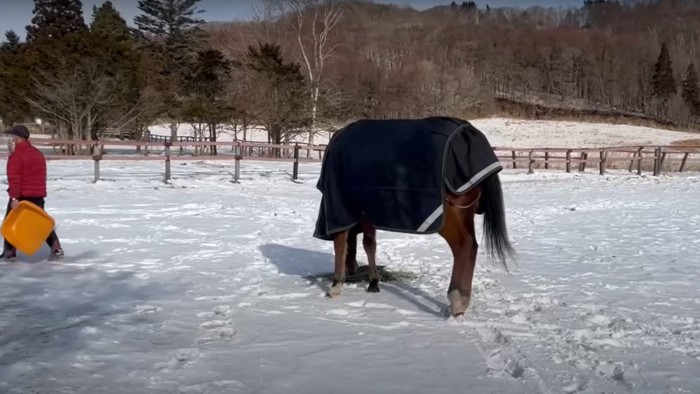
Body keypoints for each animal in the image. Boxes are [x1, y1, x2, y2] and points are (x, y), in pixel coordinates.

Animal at [312, 114, 516, 318]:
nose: (351, 270)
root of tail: (467, 133)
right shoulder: (368, 212)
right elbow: (369, 244)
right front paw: (373, 282)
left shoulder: (339, 205)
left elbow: (341, 242)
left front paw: (336, 284)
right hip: (465, 213)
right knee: (472, 246)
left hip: (450, 218)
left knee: (464, 245)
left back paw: (457, 300)